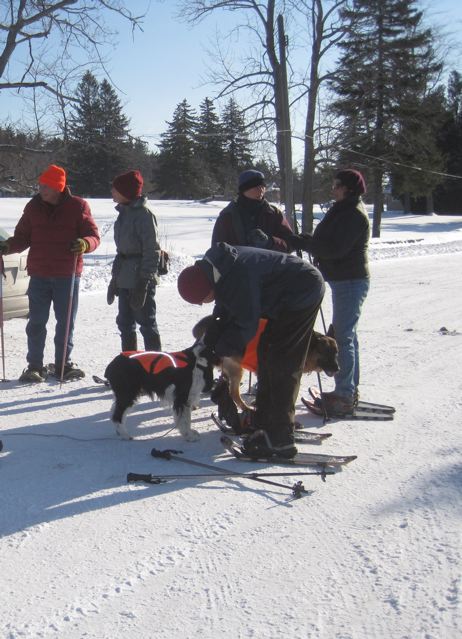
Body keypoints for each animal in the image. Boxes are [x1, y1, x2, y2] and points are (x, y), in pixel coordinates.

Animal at [192, 316, 340, 410]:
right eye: (326, 353)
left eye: (336, 353)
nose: (338, 369)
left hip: (236, 370)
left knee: (234, 393)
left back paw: (246, 408)